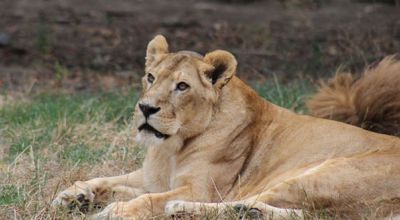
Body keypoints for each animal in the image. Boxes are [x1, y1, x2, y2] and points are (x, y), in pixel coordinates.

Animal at [52, 35, 400, 219]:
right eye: (151, 77)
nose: (146, 108)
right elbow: (107, 178)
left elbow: (146, 199)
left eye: (182, 86)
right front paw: (75, 196)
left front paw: (111, 210)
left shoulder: (202, 188)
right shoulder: (152, 177)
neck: (171, 147)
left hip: (325, 173)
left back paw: (183, 208)